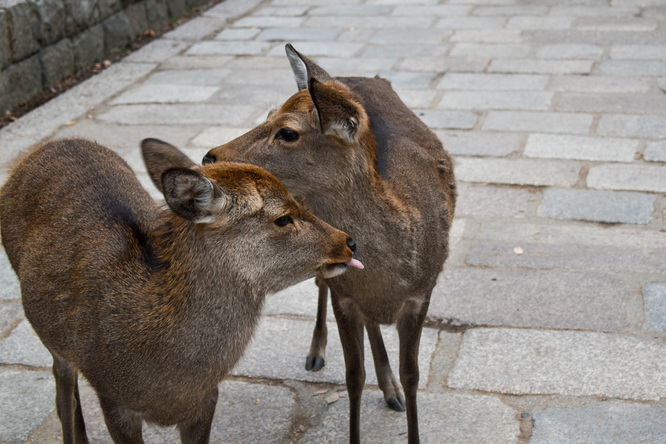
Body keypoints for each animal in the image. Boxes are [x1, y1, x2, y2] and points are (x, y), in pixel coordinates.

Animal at [0, 137, 360, 442]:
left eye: (299, 198)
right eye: (283, 218)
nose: (349, 241)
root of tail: (41, 149)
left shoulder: (206, 399)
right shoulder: (112, 399)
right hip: (52, 341)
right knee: (63, 390)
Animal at [200, 43, 454, 442]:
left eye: (288, 132)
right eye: (267, 113)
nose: (211, 155)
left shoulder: (421, 294)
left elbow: (413, 376)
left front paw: (402, 395)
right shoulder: (344, 294)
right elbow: (353, 377)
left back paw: (391, 390)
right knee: (323, 284)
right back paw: (318, 352)